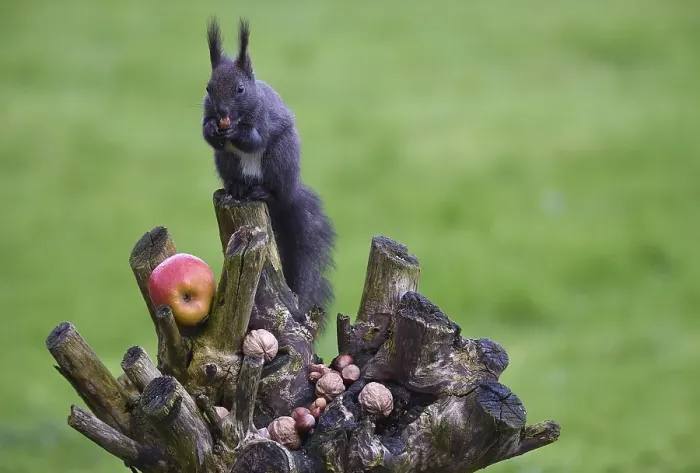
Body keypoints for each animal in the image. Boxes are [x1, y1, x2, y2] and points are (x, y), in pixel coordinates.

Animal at [201, 17, 336, 328]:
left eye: (240, 89)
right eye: (208, 88)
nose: (222, 113)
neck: (237, 116)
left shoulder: (264, 119)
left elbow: (254, 139)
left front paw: (237, 133)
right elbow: (206, 133)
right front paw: (213, 129)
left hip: (280, 159)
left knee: (275, 190)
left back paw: (263, 191)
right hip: (225, 161)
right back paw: (236, 188)